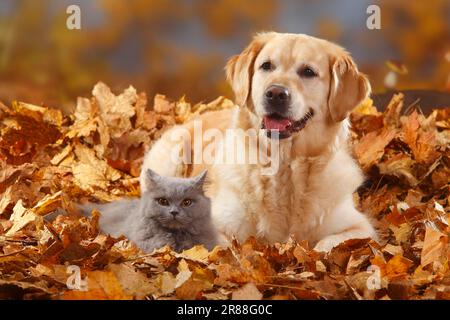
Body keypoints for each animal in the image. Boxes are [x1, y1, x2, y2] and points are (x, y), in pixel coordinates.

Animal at [140, 33, 376, 252]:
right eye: (266, 66)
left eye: (308, 72)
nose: (276, 93)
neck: (283, 167)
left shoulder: (360, 227)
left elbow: (327, 246)